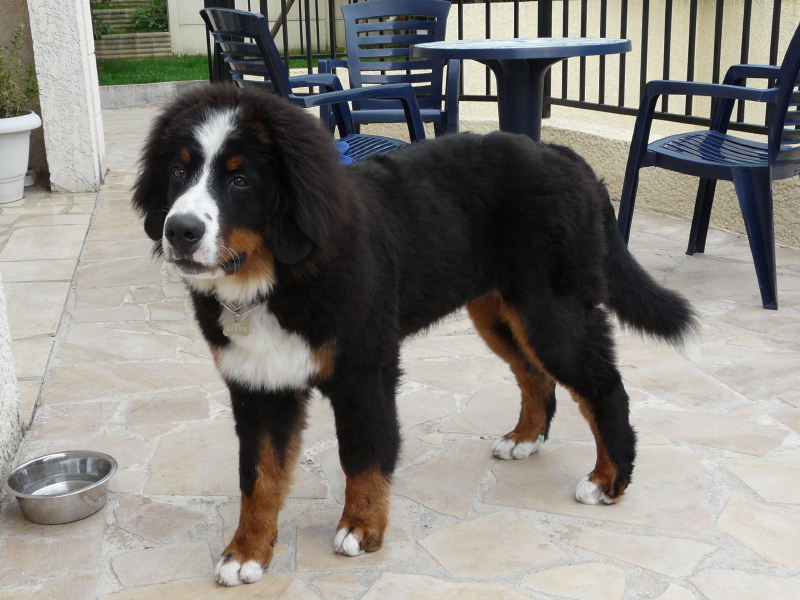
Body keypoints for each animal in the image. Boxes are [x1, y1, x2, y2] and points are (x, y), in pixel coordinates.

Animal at [132, 85, 694, 586]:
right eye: (179, 171)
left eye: (241, 180)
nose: (180, 231)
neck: (274, 279)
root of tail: (562, 154)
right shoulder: (258, 383)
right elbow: (259, 477)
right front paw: (246, 552)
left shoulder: (364, 371)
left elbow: (362, 456)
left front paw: (361, 528)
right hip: (499, 313)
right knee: (535, 376)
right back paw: (525, 439)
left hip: (551, 313)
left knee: (604, 388)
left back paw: (608, 481)